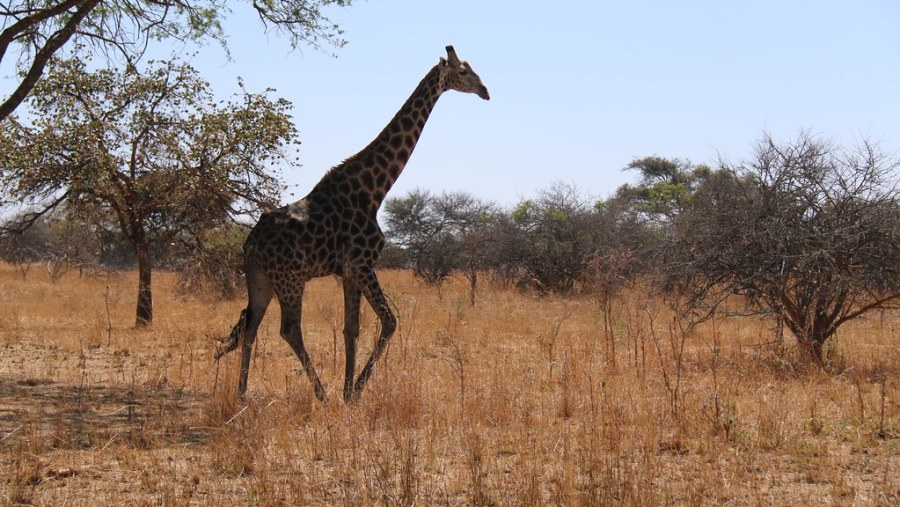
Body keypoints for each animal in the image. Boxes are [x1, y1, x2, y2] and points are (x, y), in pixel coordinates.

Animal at [214, 45, 488, 402]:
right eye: (464, 72)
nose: (485, 91)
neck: (374, 190)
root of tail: (250, 244)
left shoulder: (347, 270)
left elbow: (351, 328)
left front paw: (348, 390)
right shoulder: (361, 263)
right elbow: (389, 322)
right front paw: (353, 391)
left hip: (261, 279)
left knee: (250, 325)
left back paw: (242, 393)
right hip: (290, 279)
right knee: (289, 329)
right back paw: (320, 393)